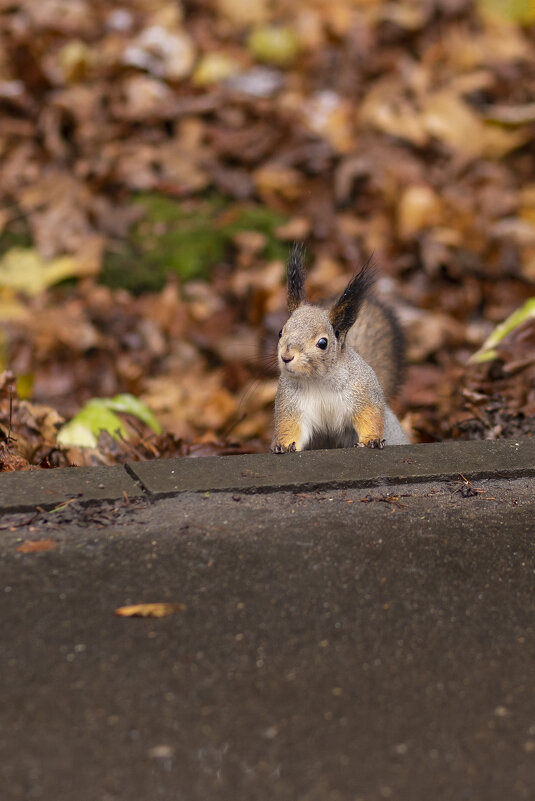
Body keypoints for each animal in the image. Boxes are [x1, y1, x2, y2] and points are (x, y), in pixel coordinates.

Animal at [272, 245, 410, 450]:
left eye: (323, 343)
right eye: (280, 332)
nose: (286, 357)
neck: (318, 380)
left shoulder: (362, 389)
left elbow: (370, 414)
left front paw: (370, 439)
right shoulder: (290, 403)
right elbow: (290, 426)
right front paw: (284, 444)